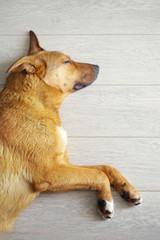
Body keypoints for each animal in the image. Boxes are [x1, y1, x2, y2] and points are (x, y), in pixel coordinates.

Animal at [0, 31, 142, 232]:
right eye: (67, 61)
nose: (98, 66)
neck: (35, 105)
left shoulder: (63, 164)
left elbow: (104, 168)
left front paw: (127, 189)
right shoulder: (50, 172)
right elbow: (99, 175)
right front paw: (106, 201)